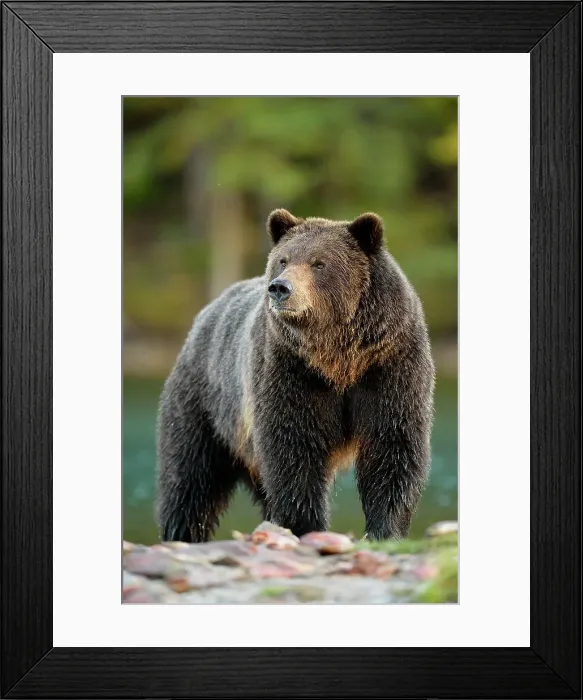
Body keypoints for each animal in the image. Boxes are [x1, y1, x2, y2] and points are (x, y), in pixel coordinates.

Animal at [156, 209, 435, 542]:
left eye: (319, 263)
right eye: (283, 260)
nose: (280, 288)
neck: (339, 358)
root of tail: (207, 311)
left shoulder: (389, 364)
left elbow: (392, 442)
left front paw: (386, 529)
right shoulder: (288, 369)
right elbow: (293, 447)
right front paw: (305, 524)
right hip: (207, 406)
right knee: (190, 476)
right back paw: (181, 532)